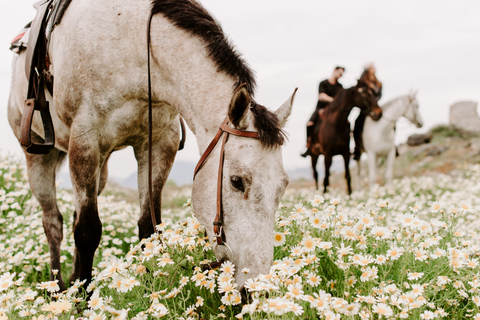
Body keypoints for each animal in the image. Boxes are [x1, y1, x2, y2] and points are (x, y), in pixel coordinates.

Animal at [7, 0, 296, 290]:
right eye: (236, 181)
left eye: (283, 185)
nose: (254, 285)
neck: (132, 44)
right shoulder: (84, 141)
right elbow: (87, 231)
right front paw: (82, 295)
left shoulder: (158, 143)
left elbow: (148, 227)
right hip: (40, 157)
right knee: (53, 223)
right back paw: (58, 287)